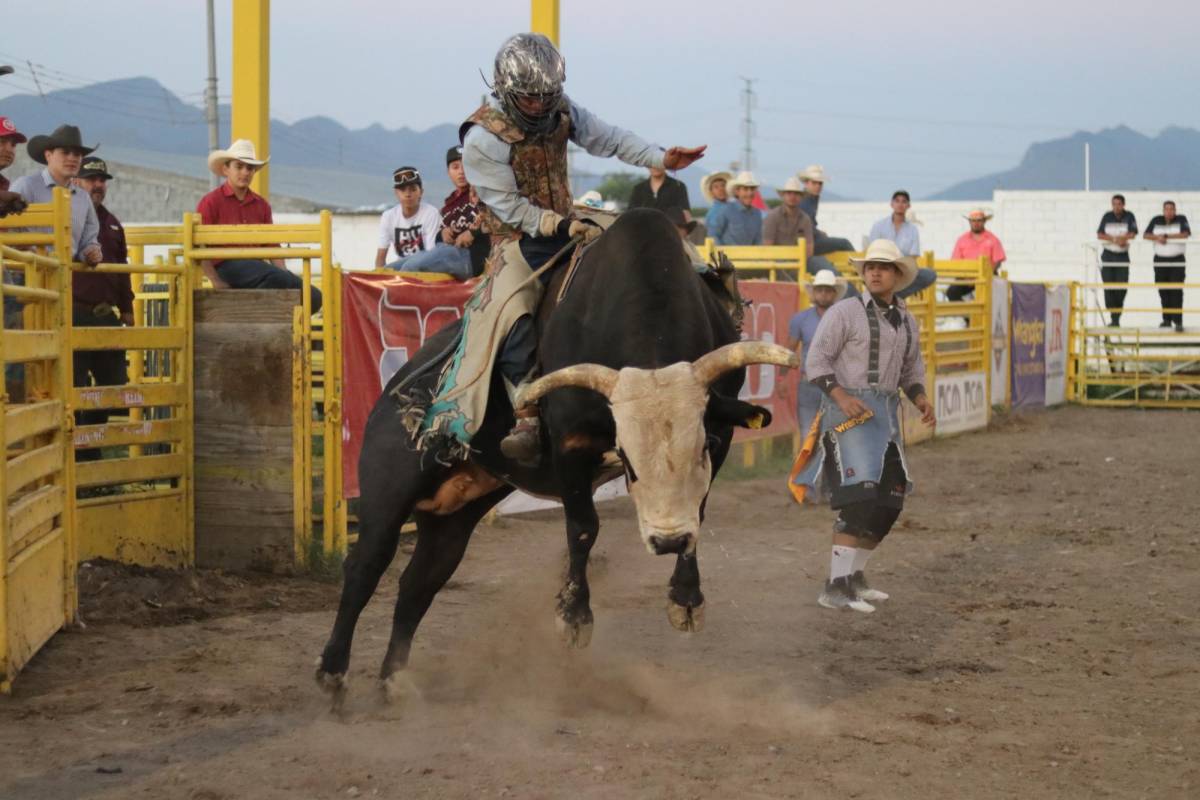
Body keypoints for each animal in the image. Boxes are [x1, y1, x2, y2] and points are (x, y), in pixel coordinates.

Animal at [316, 208, 796, 700]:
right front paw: (573, 616)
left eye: (703, 446)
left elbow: (695, 509)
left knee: (419, 583)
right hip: (387, 490)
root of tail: (395, 390)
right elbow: (583, 527)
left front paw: (685, 600)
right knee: (365, 566)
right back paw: (333, 673)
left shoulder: (719, 430)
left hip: (453, 515)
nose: (666, 542)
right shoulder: (570, 444)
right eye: (625, 457)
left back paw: (394, 681)